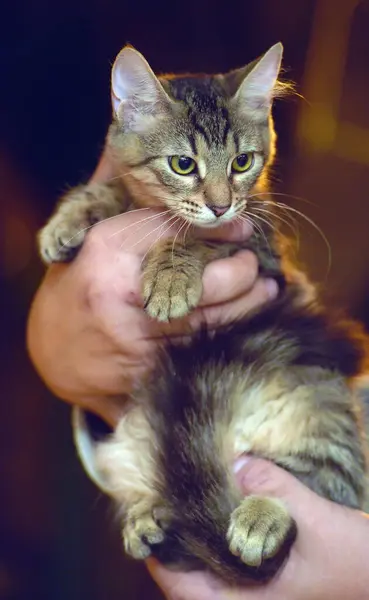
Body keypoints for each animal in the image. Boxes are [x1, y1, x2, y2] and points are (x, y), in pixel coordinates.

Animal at [37, 43, 368, 584]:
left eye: (241, 162)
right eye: (182, 163)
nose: (219, 204)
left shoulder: (261, 249)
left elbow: (199, 238)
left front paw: (173, 273)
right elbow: (116, 194)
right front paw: (70, 219)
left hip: (320, 409)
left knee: (329, 482)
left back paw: (261, 517)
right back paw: (149, 518)